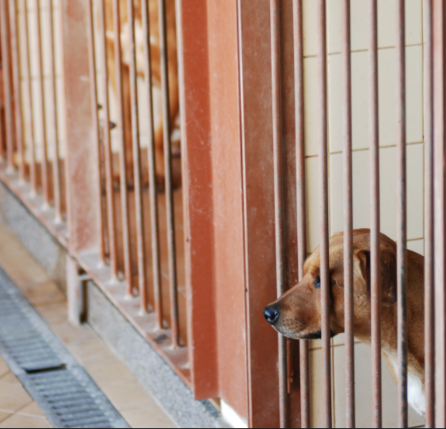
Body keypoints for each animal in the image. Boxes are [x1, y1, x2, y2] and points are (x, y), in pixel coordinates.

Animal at [104, 0, 179, 187]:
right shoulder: (117, 66)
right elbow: (126, 128)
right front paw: (126, 174)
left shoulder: (173, 72)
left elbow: (160, 134)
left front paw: (160, 175)